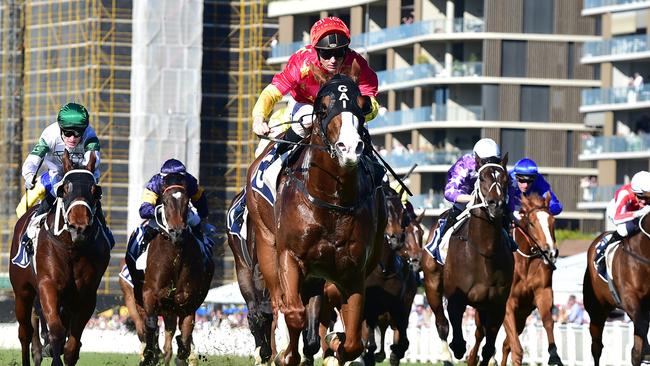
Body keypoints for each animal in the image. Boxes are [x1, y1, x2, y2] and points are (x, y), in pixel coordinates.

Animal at [9, 150, 109, 364]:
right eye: (65, 188)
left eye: (95, 190)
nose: (79, 226)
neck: (72, 249)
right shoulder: (48, 284)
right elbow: (56, 330)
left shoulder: (86, 294)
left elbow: (72, 344)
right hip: (22, 291)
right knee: (25, 332)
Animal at [135, 172, 214, 366]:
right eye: (165, 201)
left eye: (187, 201)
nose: (177, 233)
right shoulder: (149, 295)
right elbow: (151, 325)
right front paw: (148, 356)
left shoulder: (188, 303)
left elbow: (185, 336)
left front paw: (182, 355)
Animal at [246, 73, 382, 364]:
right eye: (323, 107)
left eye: (361, 105)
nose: (349, 148)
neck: (331, 200)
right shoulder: (290, 256)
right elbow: (294, 313)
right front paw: (285, 353)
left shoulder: (353, 271)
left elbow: (353, 341)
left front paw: (334, 345)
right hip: (267, 247)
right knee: (279, 302)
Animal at [420, 156, 512, 364]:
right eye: (482, 177)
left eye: (506, 179)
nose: (496, 205)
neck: (484, 253)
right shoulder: (456, 298)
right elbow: (457, 338)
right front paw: (457, 349)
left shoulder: (497, 305)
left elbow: (488, 348)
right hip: (432, 284)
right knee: (442, 323)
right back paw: (447, 356)